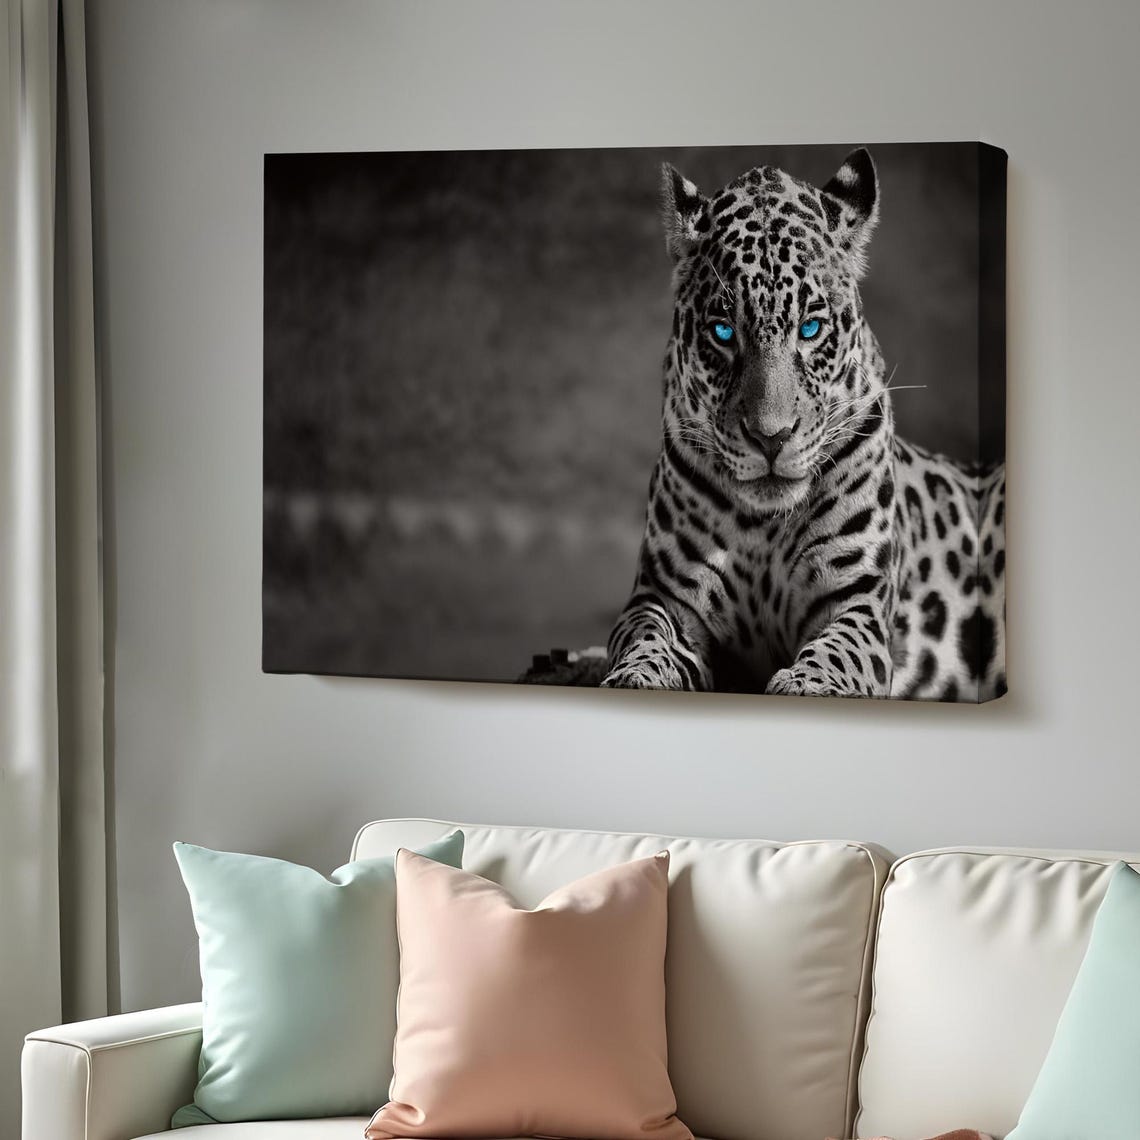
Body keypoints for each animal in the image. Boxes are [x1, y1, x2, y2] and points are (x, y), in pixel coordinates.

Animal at [600, 148, 1006, 701]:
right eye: (723, 332)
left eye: (810, 328)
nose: (770, 438)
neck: (763, 528)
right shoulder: (662, 596)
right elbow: (645, 638)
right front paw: (636, 675)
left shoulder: (856, 601)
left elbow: (838, 651)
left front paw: (806, 683)